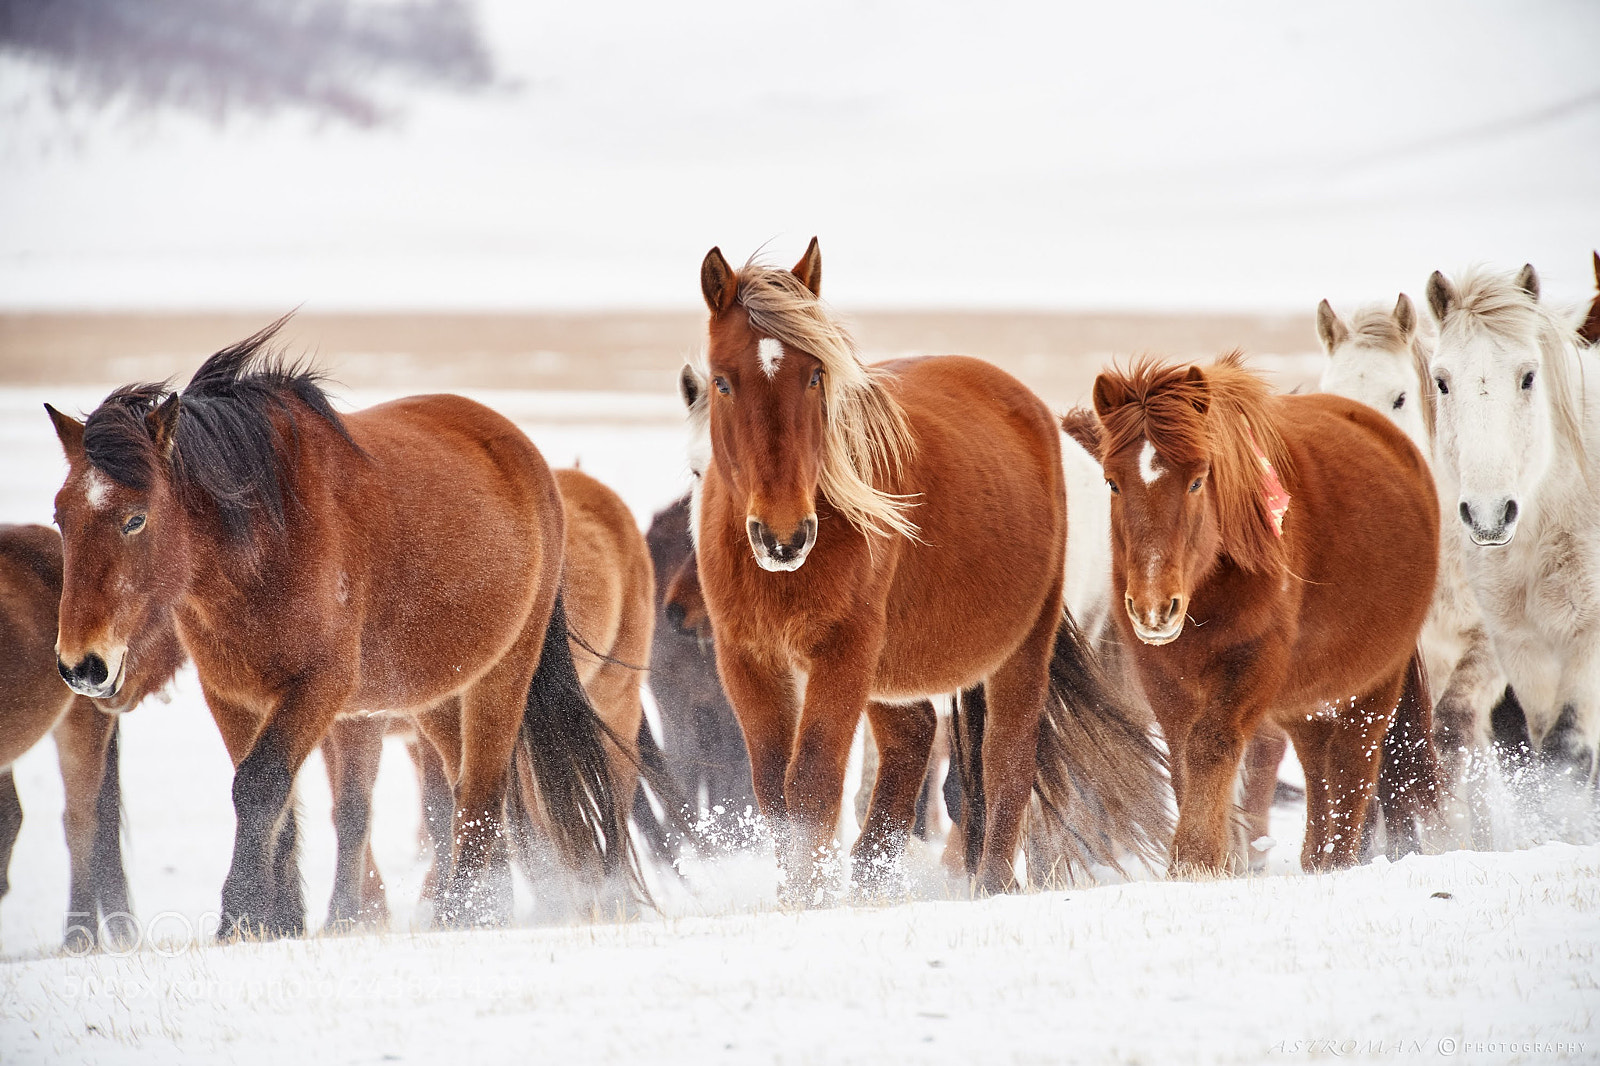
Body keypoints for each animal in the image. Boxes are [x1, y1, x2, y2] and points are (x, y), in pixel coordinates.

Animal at [45, 320, 629, 938]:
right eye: (61, 516)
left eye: (135, 519)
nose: (82, 665)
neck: (269, 543)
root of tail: (530, 460)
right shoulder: (233, 697)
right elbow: (274, 801)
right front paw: (277, 922)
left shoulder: (318, 687)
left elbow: (259, 786)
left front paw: (238, 916)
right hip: (438, 695)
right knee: (468, 791)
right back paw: (478, 908)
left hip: (502, 675)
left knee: (484, 795)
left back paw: (464, 913)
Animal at [688, 240, 1168, 898]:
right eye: (722, 381)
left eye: (815, 375)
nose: (784, 536)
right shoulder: (748, 660)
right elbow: (776, 794)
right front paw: (797, 894)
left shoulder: (843, 652)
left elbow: (810, 786)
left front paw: (806, 900)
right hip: (891, 666)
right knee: (914, 738)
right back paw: (872, 875)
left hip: (1021, 646)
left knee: (1006, 762)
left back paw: (991, 882)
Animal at [1087, 351, 1437, 874]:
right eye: (1112, 481)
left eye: (1197, 480)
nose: (1154, 609)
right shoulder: (1161, 674)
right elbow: (1183, 753)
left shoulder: (1252, 663)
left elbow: (1212, 743)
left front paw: (1195, 858)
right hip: (1309, 698)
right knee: (1320, 766)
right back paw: (1316, 858)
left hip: (1373, 686)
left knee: (1352, 762)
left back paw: (1336, 861)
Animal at [1426, 265, 1600, 817]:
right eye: (1442, 381)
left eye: (1528, 376)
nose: (1488, 514)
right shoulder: (1521, 646)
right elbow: (1544, 756)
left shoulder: (1589, 639)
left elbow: (1568, 754)